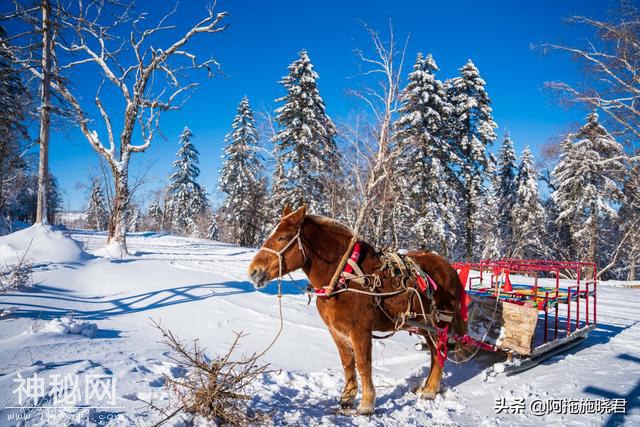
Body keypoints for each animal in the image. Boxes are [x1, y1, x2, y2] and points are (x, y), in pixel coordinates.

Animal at [248, 206, 468, 416]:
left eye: (282, 238)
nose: (253, 271)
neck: (342, 278)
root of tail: (449, 269)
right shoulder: (336, 331)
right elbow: (347, 363)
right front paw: (347, 398)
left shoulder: (360, 330)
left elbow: (363, 364)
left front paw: (366, 404)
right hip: (424, 325)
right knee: (433, 353)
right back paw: (427, 386)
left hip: (439, 323)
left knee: (439, 351)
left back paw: (430, 390)